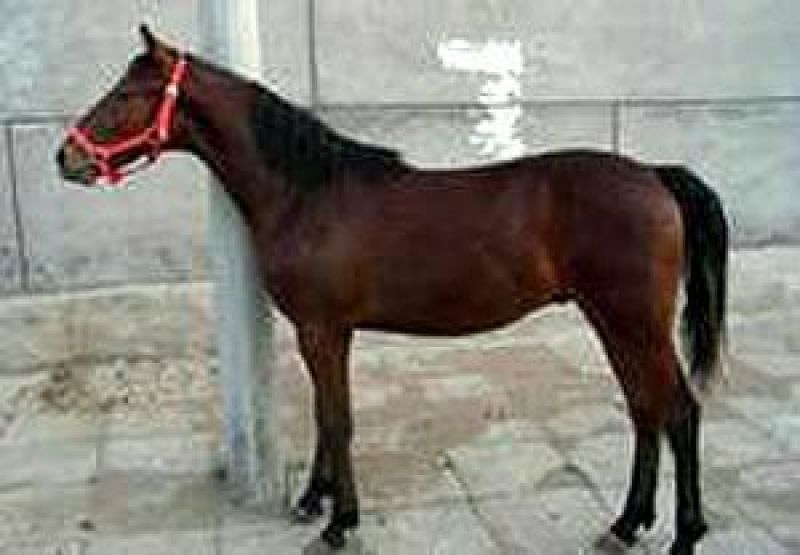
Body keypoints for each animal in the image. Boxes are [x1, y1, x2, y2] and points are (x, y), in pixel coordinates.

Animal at [57, 26, 728, 554]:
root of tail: (653, 176)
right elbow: (326, 415)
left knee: (678, 411)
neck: (307, 193)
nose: (66, 157)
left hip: (633, 321)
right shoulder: (327, 332)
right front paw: (314, 500)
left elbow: (337, 419)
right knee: (644, 409)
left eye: (128, 94)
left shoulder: (321, 330)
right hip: (612, 321)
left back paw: (683, 534)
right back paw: (626, 524)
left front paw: (338, 524)